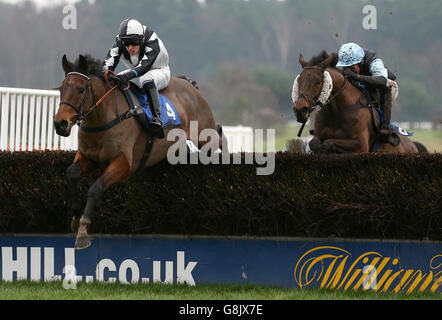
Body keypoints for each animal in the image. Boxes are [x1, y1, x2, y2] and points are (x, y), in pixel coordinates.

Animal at [54, 54, 223, 250]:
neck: (104, 119)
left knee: (218, 137)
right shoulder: (88, 157)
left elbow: (96, 188)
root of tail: (189, 85)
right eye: (61, 88)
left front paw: (82, 231)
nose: (60, 124)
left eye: (81, 89)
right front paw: (75, 216)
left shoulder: (124, 164)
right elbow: (71, 172)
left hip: (205, 135)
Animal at [292, 51, 424, 154]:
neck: (336, 111)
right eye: (299, 80)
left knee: (385, 84)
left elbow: (328, 143)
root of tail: (412, 145)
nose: (300, 110)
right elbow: (314, 144)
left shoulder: (361, 145)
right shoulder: (318, 136)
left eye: (318, 82)